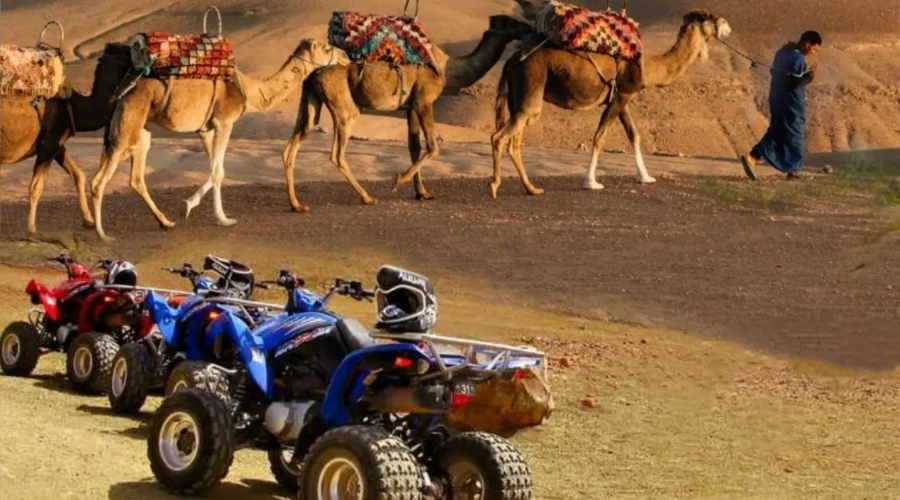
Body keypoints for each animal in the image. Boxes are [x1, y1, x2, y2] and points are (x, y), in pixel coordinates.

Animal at [0, 44, 132, 234]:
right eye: (126, 53)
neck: (74, 106)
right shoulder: (48, 144)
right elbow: (35, 187)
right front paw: (31, 229)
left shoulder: (58, 145)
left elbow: (78, 175)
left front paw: (88, 220)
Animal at [91, 39, 347, 241]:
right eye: (326, 47)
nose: (345, 56)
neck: (250, 90)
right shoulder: (225, 121)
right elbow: (218, 173)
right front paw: (224, 219)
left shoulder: (206, 128)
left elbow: (216, 169)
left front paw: (187, 206)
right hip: (129, 120)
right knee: (99, 181)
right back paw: (102, 234)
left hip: (139, 129)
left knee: (134, 177)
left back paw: (165, 222)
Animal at [281, 15, 533, 212]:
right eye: (512, 22)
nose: (528, 28)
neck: (448, 69)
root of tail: (316, 72)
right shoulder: (424, 100)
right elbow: (433, 146)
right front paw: (398, 180)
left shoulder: (410, 106)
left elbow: (415, 147)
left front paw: (422, 192)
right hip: (343, 105)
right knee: (337, 152)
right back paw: (367, 197)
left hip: (311, 98)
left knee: (296, 141)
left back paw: (297, 205)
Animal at [490, 4, 732, 197]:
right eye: (709, 16)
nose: (727, 24)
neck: (646, 66)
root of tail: (513, 60)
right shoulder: (622, 95)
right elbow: (600, 137)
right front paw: (591, 182)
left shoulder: (620, 97)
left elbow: (634, 135)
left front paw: (645, 177)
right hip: (531, 84)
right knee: (499, 137)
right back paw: (494, 186)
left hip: (519, 95)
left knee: (514, 141)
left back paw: (531, 188)